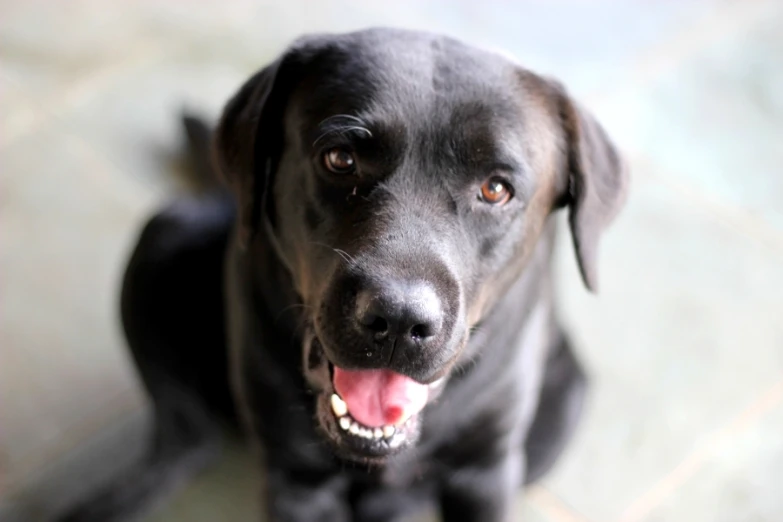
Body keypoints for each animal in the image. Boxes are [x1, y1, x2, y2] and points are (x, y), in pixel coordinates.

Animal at [58, 27, 628, 520]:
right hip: (164, 236)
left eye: (495, 189)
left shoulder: (486, 473)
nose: (399, 320)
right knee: (185, 440)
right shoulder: (296, 481)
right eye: (339, 159)